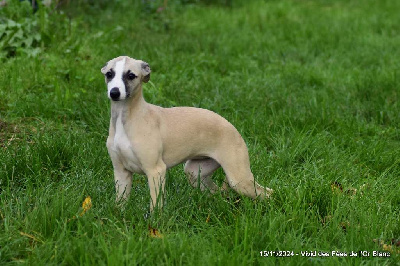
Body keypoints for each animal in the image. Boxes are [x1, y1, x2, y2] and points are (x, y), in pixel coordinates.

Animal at [101, 56, 274, 212]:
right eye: (109, 74)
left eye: (131, 75)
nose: (114, 93)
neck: (127, 119)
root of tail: (233, 128)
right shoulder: (121, 172)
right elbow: (120, 203)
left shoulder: (156, 170)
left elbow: (156, 205)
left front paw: (154, 223)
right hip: (195, 172)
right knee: (217, 192)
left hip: (239, 179)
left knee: (267, 192)